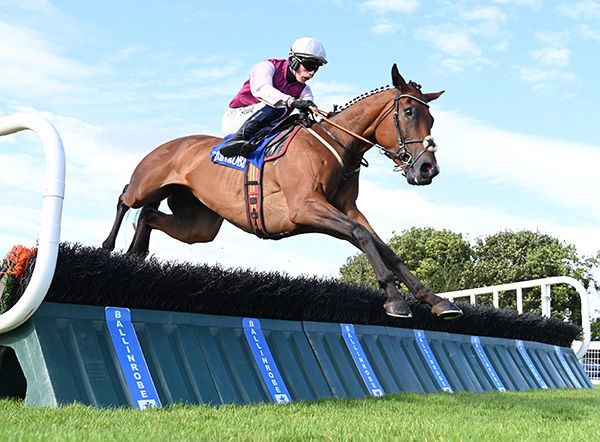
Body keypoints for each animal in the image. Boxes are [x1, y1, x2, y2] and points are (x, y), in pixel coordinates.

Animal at [102, 64, 464, 318]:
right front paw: (394, 299)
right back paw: (108, 248)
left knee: (149, 215)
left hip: (198, 225)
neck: (336, 144)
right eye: (409, 112)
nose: (427, 169)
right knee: (126, 198)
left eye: (431, 118)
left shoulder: (346, 209)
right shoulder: (305, 207)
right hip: (148, 185)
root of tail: (170, 144)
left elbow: (382, 246)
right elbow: (361, 235)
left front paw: (436, 300)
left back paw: (135, 255)